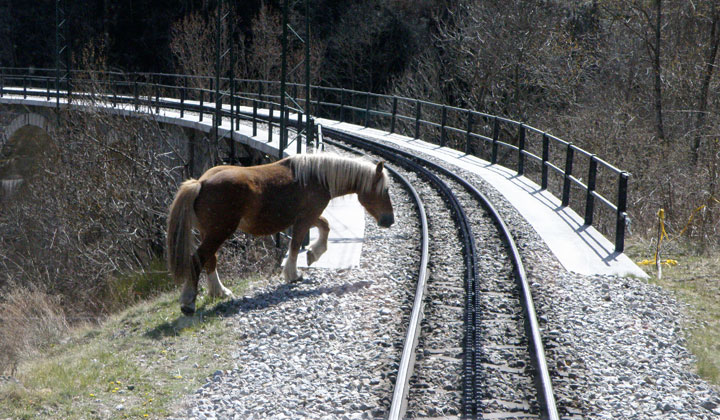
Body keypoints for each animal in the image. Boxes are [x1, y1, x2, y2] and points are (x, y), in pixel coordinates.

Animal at [166, 153, 394, 315]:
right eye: (384, 190)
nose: (389, 220)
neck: (316, 177)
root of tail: (201, 183)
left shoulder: (308, 217)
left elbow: (325, 226)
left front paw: (314, 253)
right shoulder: (304, 219)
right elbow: (296, 245)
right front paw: (293, 274)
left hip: (211, 232)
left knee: (209, 260)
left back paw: (220, 292)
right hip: (219, 232)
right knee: (198, 259)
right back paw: (189, 303)